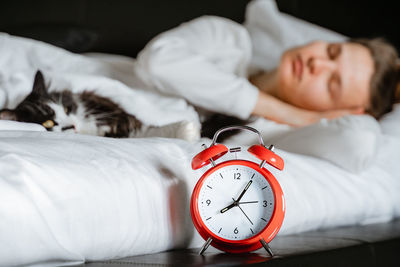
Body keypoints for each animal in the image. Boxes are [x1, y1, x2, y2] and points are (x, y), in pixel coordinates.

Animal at [0, 71, 200, 141]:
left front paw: (190, 132)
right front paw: (190, 132)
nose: (72, 126)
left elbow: (151, 129)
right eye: (48, 123)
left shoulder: (119, 118)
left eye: (66, 109)